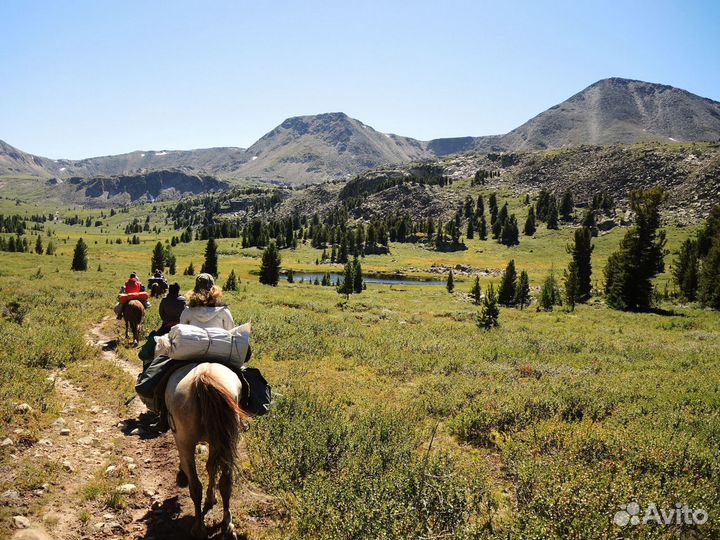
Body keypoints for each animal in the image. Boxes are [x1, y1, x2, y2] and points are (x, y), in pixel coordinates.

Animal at [165, 362, 249, 540]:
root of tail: (203, 376)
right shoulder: (216, 442)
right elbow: (211, 467)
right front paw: (211, 498)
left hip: (185, 442)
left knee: (196, 486)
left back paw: (198, 528)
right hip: (228, 440)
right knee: (226, 482)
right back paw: (227, 526)